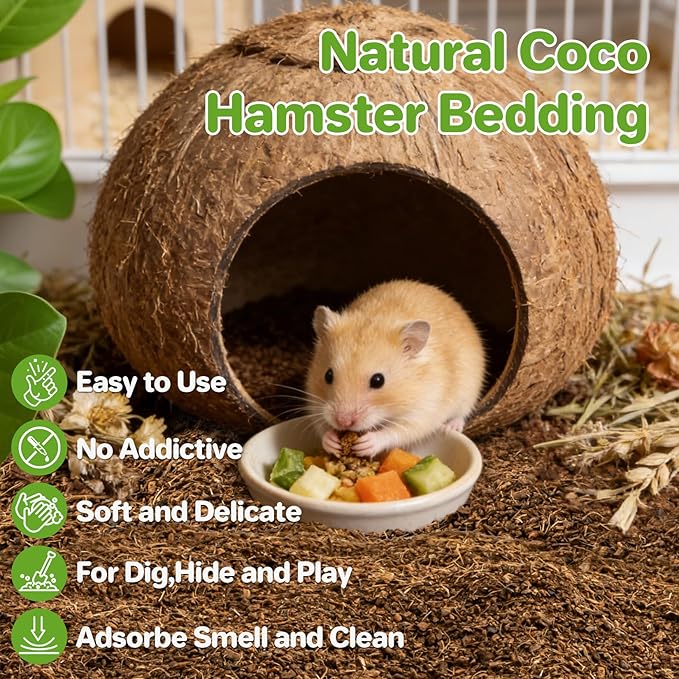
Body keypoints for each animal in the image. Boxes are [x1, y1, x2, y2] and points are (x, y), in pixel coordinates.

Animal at [305, 279, 486, 458]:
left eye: (378, 380)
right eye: (328, 375)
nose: (343, 422)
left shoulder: (423, 411)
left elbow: (397, 431)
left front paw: (367, 443)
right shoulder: (315, 401)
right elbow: (321, 425)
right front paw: (331, 441)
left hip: (469, 391)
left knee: (462, 414)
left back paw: (449, 427)